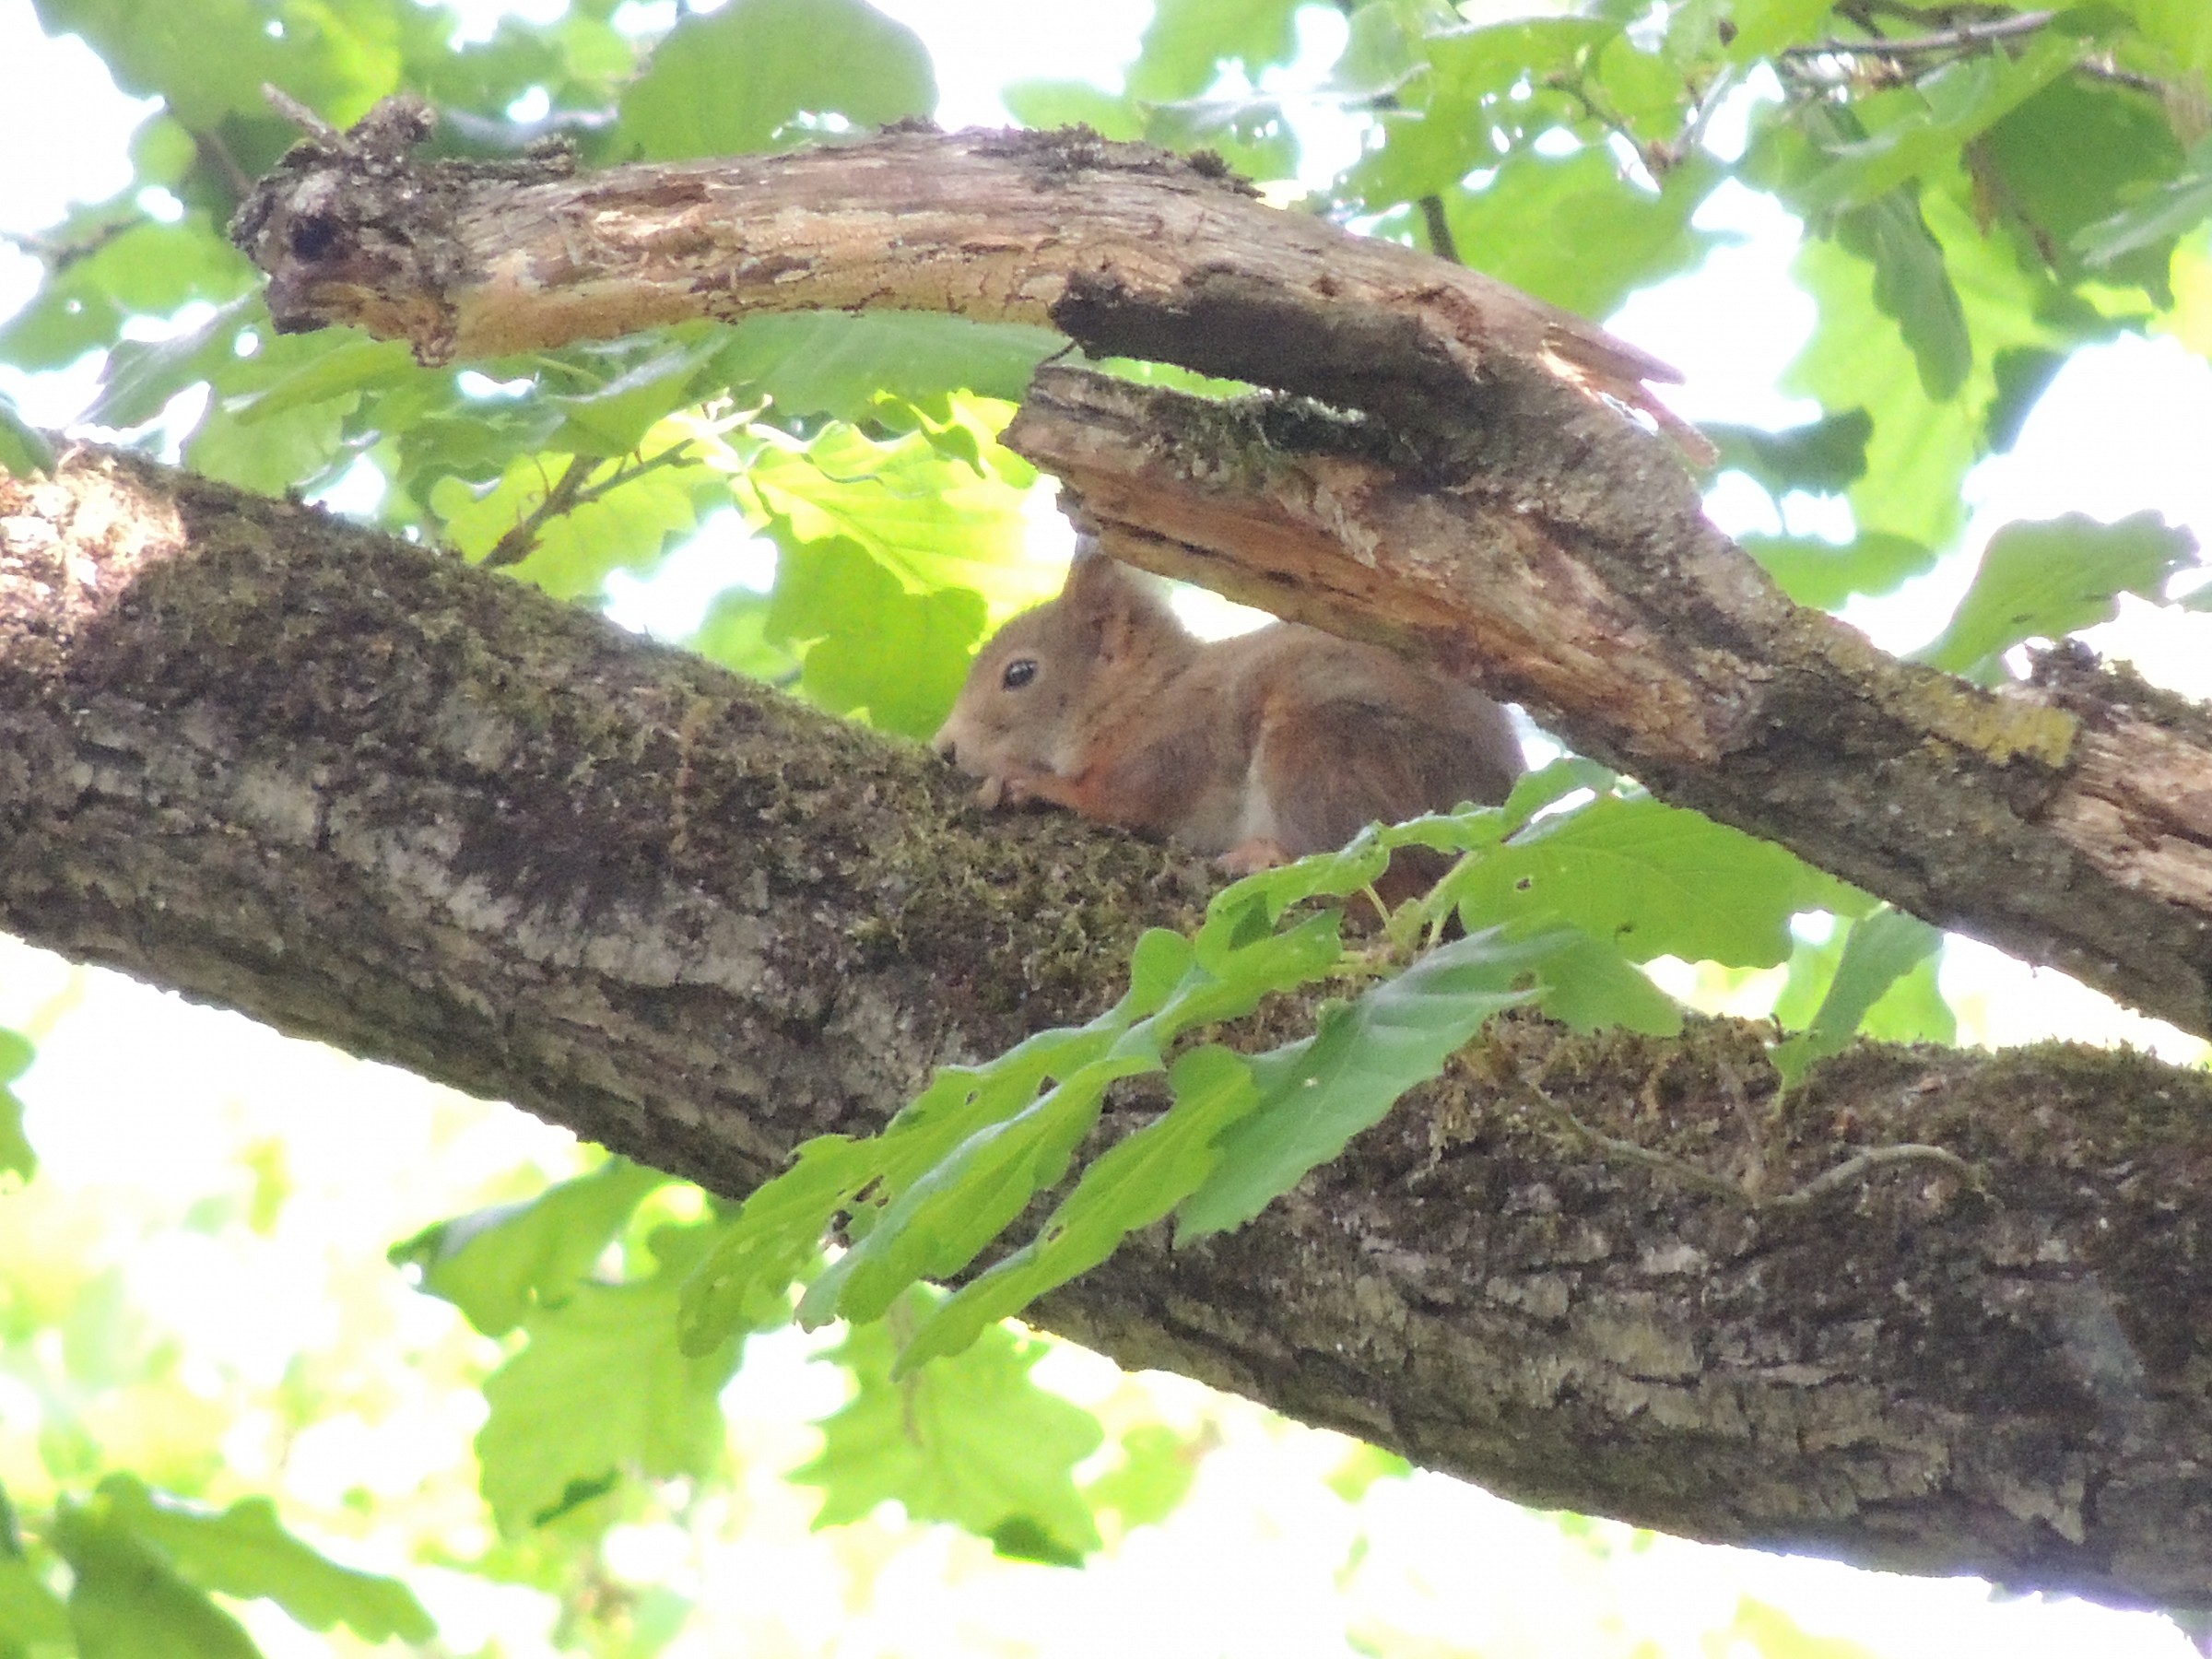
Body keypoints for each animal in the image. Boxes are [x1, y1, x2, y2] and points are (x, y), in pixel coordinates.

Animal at [932, 542, 1524, 879]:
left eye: (1020, 674)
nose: (944, 749)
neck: (1143, 698)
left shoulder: (1179, 741)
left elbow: (1122, 799)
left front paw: (1032, 782)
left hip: (1325, 754)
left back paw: (1264, 856)